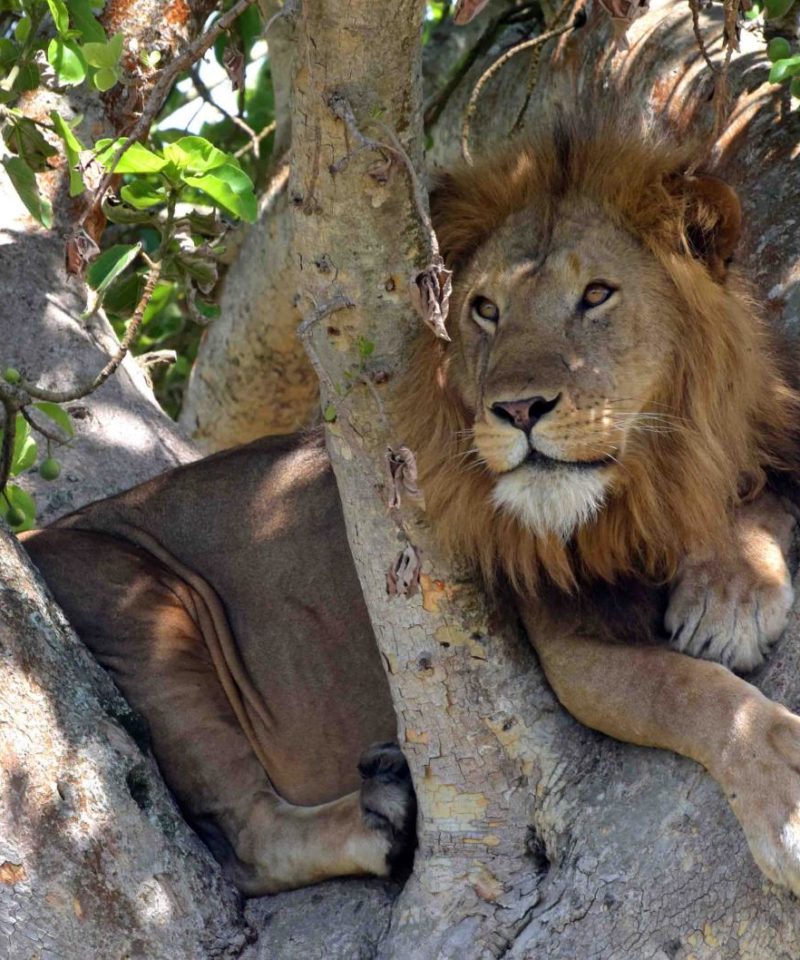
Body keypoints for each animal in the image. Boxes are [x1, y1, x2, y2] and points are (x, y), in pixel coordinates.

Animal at [18, 114, 800, 900]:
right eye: (485, 310)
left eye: (597, 295)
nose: (518, 409)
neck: (643, 487)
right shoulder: (565, 645)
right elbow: (689, 690)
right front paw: (785, 797)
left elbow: (762, 500)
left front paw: (728, 594)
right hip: (136, 601)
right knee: (246, 841)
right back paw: (383, 817)